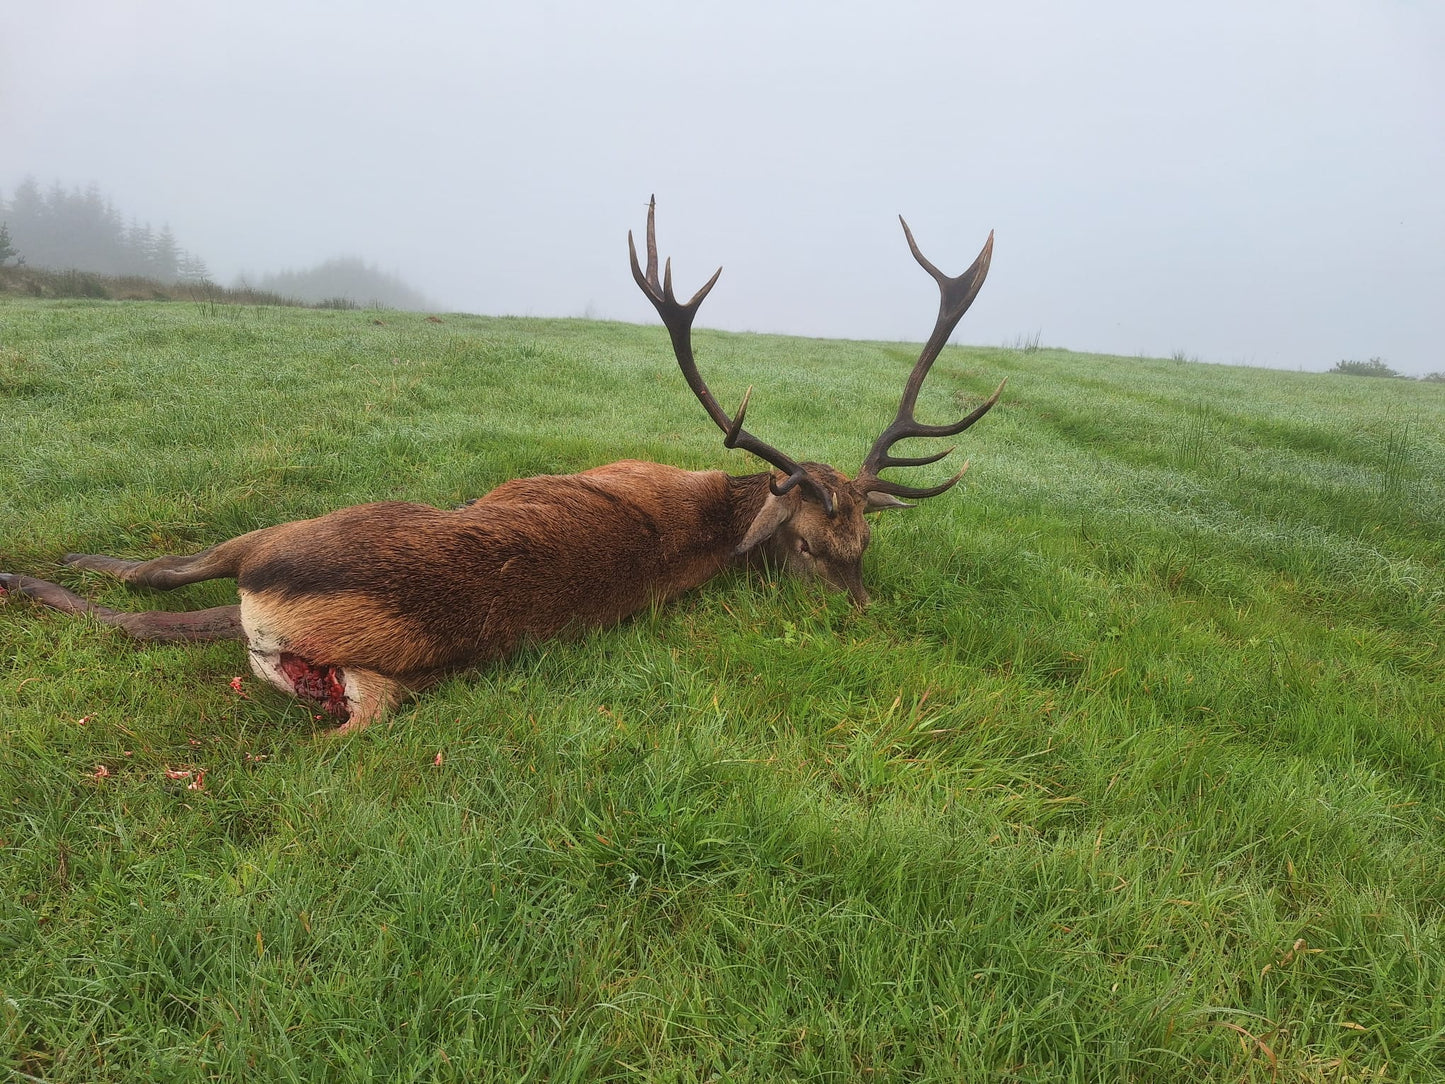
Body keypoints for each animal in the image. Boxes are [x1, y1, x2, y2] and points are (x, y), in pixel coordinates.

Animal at [0, 198, 1002, 734]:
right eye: (825, 544)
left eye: (858, 545)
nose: (864, 611)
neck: (717, 510)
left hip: (289, 531)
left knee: (158, 585)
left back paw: (42, 571)